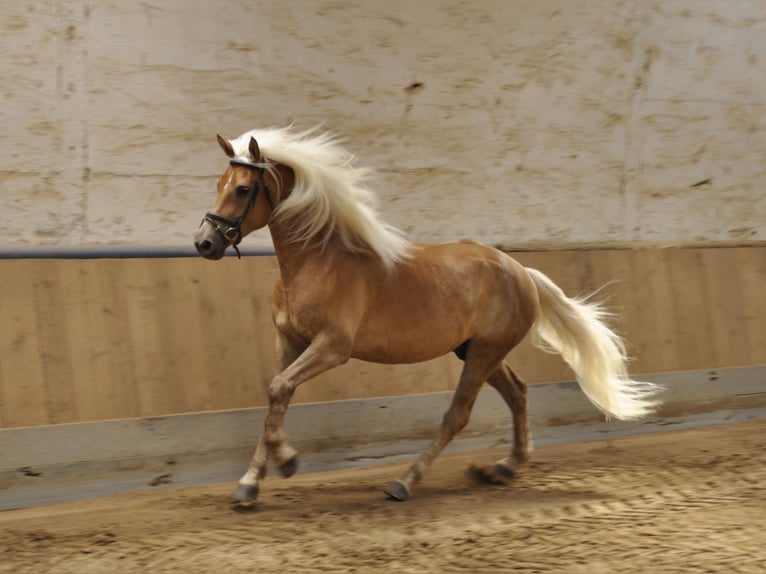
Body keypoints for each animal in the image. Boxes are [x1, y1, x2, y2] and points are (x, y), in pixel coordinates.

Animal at [192, 127, 660, 504]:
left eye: (242, 189)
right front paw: (249, 484)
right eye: (219, 183)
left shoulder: (331, 348)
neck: (317, 262)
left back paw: (405, 482)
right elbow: (276, 396)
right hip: (477, 351)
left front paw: (288, 461)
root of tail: (520, 271)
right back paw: (503, 468)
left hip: (484, 353)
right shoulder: (289, 342)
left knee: (458, 415)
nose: (204, 243)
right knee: (518, 393)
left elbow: (279, 390)